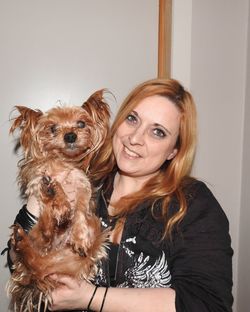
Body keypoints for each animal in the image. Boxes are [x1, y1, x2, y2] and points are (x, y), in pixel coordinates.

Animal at [7, 89, 110, 310]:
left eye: (81, 124)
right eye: (52, 128)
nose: (70, 135)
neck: (63, 163)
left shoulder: (82, 185)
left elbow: (79, 210)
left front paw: (79, 236)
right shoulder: (37, 178)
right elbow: (51, 184)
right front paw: (59, 199)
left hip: (89, 238)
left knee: (40, 258)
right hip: (38, 238)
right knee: (41, 239)